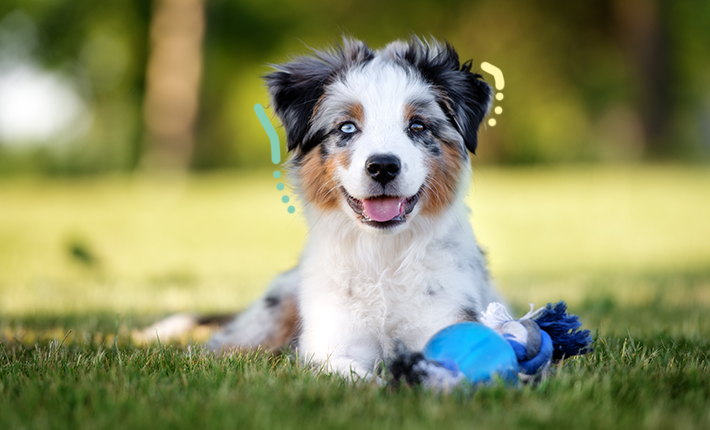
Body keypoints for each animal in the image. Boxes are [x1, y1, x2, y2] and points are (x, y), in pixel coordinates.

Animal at [209, 37, 504, 378]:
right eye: (347, 128)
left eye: (417, 126)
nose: (383, 166)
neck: (382, 257)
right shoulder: (330, 347)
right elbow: (359, 379)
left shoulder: (445, 318)